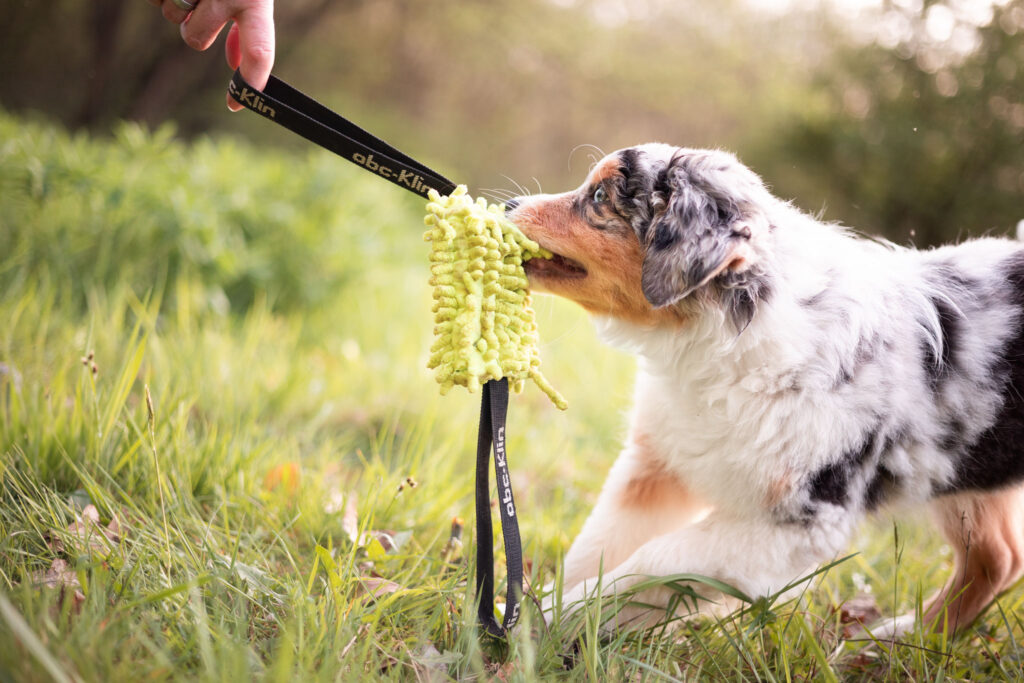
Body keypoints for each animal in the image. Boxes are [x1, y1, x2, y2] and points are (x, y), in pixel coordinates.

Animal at [505, 143, 1024, 634]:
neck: (716, 340)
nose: (509, 203)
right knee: (998, 558)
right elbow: (596, 545)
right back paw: (902, 638)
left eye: (598, 197)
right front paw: (537, 622)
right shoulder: (658, 463)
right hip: (964, 474)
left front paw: (556, 618)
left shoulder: (800, 520)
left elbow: (656, 561)